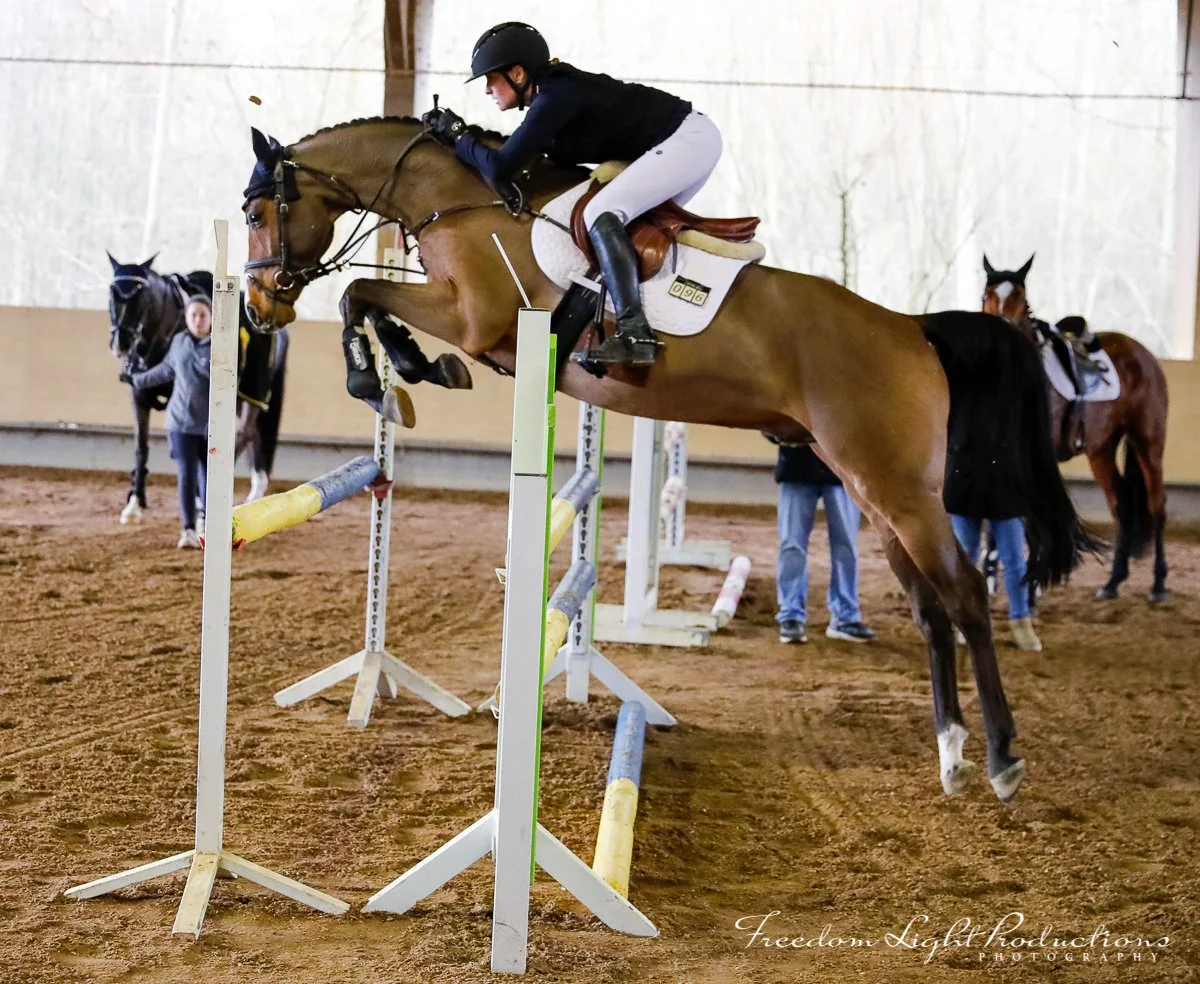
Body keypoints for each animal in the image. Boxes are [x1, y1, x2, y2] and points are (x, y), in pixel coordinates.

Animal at [107, 254, 289, 523]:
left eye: (141, 295)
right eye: (112, 292)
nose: (121, 343)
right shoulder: (139, 396)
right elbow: (141, 448)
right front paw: (134, 504)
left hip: (254, 393)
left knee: (245, 432)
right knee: (254, 434)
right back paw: (255, 492)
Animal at [238, 117, 1098, 803]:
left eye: (255, 211)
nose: (260, 305)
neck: (463, 198)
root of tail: (913, 327)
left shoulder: (474, 316)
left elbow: (361, 297)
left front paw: (393, 373)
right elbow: (367, 303)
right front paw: (406, 373)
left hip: (897, 488)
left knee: (965, 596)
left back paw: (1001, 758)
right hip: (872, 489)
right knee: (929, 609)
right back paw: (950, 753)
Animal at [981, 255, 1169, 603]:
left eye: (1021, 298)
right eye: (987, 295)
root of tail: (1144, 354)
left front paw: (1033, 586)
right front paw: (990, 576)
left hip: (1148, 443)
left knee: (1157, 507)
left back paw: (1159, 584)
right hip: (1102, 450)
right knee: (1121, 507)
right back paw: (1112, 582)